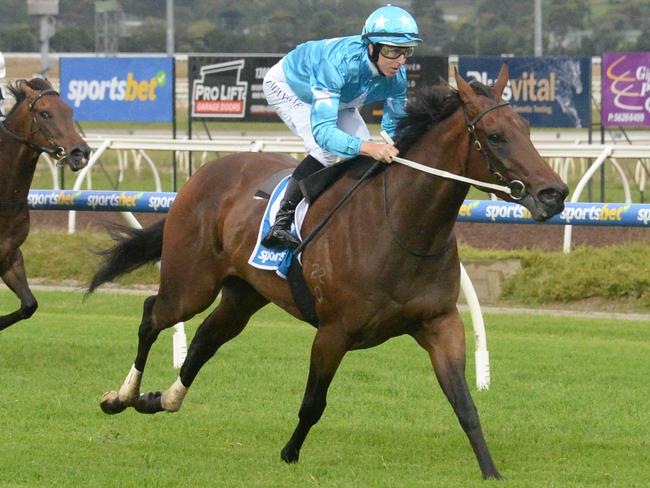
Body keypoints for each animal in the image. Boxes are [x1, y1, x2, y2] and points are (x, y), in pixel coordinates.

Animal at [88, 66, 564, 480]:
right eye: (496, 136)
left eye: (526, 129)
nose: (554, 193)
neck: (401, 226)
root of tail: (203, 173)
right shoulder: (334, 331)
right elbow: (313, 403)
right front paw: (289, 453)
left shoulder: (439, 322)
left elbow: (464, 404)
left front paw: (491, 471)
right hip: (192, 283)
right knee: (153, 314)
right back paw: (121, 397)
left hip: (244, 293)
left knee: (206, 338)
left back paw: (162, 399)